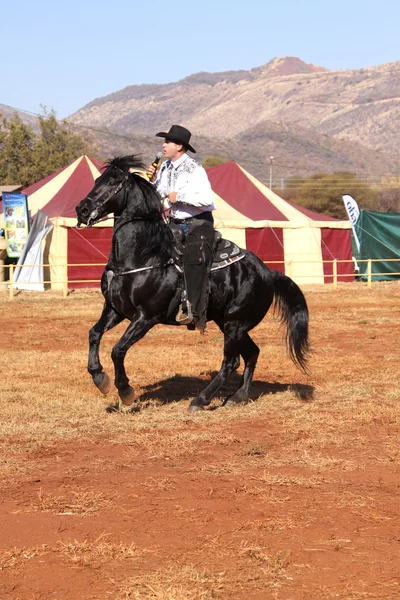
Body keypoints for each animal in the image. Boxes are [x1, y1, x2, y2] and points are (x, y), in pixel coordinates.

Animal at [76, 155, 310, 412]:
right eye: (97, 180)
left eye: (113, 182)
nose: (81, 209)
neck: (143, 255)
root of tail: (268, 272)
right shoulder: (115, 309)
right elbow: (94, 334)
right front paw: (99, 377)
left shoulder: (146, 317)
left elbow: (118, 350)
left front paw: (125, 390)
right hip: (228, 322)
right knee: (252, 353)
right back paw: (238, 396)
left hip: (235, 323)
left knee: (232, 361)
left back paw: (201, 399)